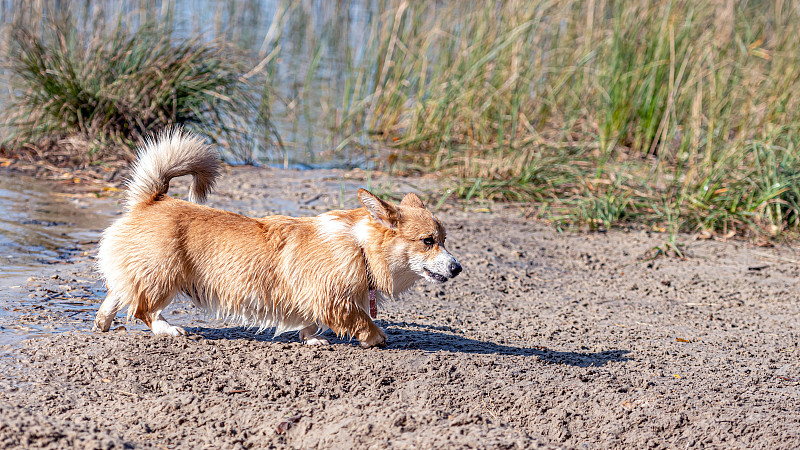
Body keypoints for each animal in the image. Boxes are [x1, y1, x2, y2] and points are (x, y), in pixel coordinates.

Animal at [92, 130, 462, 348]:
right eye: (428, 241)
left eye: (444, 239)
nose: (458, 268)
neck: (360, 248)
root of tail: (151, 199)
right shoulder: (334, 299)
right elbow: (360, 320)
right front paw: (375, 338)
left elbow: (312, 323)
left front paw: (312, 340)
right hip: (164, 276)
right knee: (143, 309)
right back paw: (169, 330)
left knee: (116, 295)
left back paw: (102, 324)